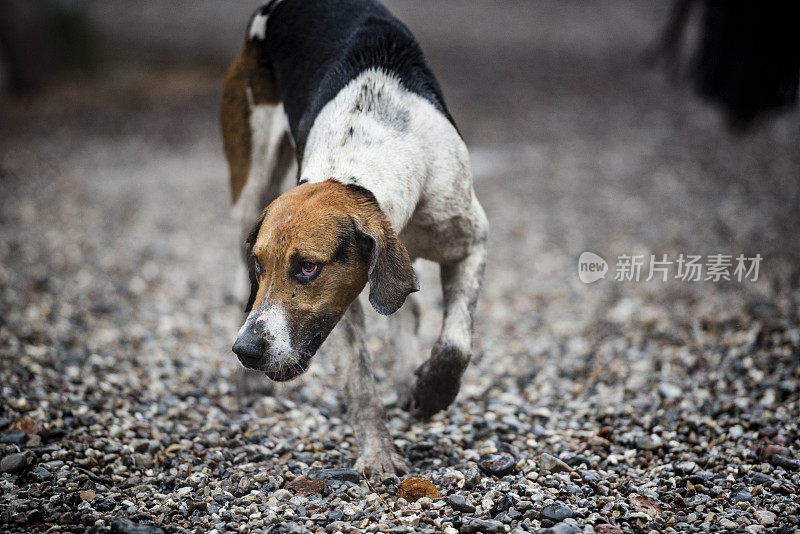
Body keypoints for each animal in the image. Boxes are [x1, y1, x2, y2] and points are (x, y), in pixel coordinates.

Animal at [222, 0, 490, 478]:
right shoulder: (338, 301)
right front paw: (379, 454)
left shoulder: (471, 241)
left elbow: (454, 345)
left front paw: (430, 393)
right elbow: (361, 380)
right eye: (259, 264)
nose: (245, 350)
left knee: (409, 308)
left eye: (307, 267)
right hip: (250, 182)